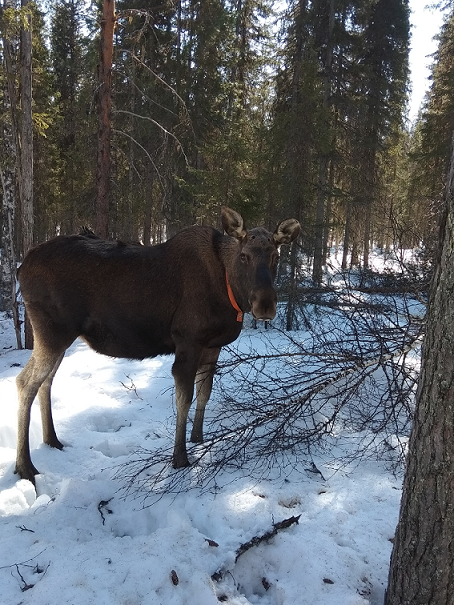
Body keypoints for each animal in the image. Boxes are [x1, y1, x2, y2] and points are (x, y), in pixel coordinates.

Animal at [14, 205, 300, 484]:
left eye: (275, 256)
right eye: (244, 256)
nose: (265, 305)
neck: (230, 293)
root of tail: (21, 268)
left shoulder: (212, 346)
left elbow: (205, 393)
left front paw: (198, 438)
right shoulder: (188, 342)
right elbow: (184, 399)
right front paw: (180, 458)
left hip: (60, 337)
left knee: (46, 381)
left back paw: (52, 440)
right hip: (52, 332)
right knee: (25, 382)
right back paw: (25, 466)